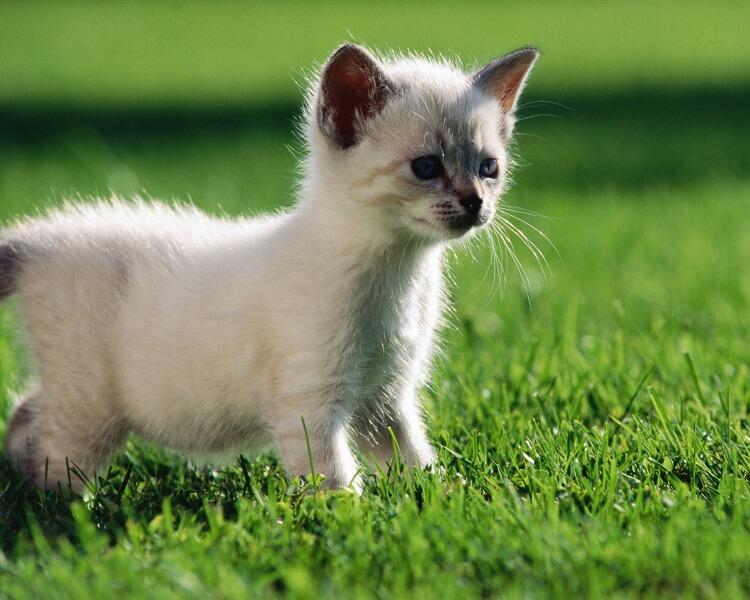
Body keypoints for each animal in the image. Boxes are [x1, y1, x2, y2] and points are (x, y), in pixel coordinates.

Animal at [0, 42, 540, 492]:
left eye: (489, 168)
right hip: (90, 407)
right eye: (426, 167)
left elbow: (413, 460)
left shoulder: (386, 396)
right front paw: (349, 520)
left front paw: (442, 501)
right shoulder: (310, 401)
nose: (475, 203)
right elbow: (333, 479)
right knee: (53, 461)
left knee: (25, 413)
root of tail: (41, 237)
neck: (400, 272)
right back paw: (61, 511)